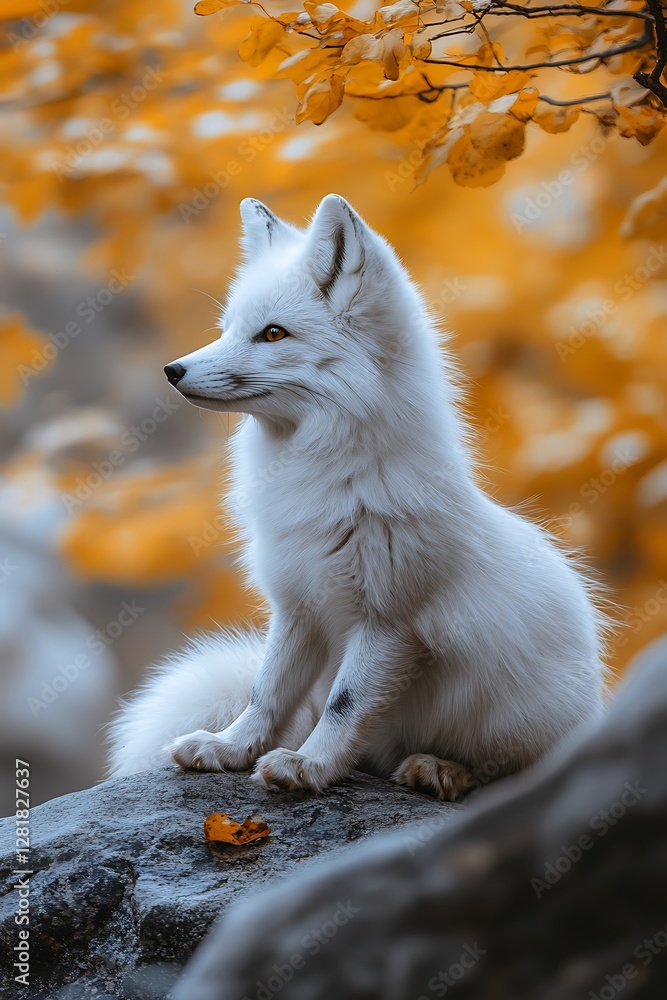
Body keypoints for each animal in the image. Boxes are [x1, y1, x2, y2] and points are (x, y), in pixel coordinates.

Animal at [108, 194, 608, 800]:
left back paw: (441, 769)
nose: (172, 370)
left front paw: (306, 765)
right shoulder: (298, 605)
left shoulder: (390, 622)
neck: (327, 480)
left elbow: (344, 704)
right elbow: (265, 692)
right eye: (227, 329)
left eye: (272, 334)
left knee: (512, 773)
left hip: (527, 722)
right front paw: (231, 748)